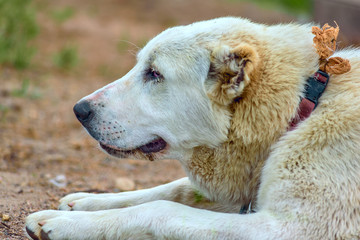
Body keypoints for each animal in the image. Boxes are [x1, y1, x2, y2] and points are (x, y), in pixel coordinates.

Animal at [25, 17, 360, 239]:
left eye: (154, 73)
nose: (79, 111)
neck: (299, 108)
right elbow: (172, 189)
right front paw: (84, 203)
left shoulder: (290, 228)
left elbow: (158, 208)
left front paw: (67, 225)